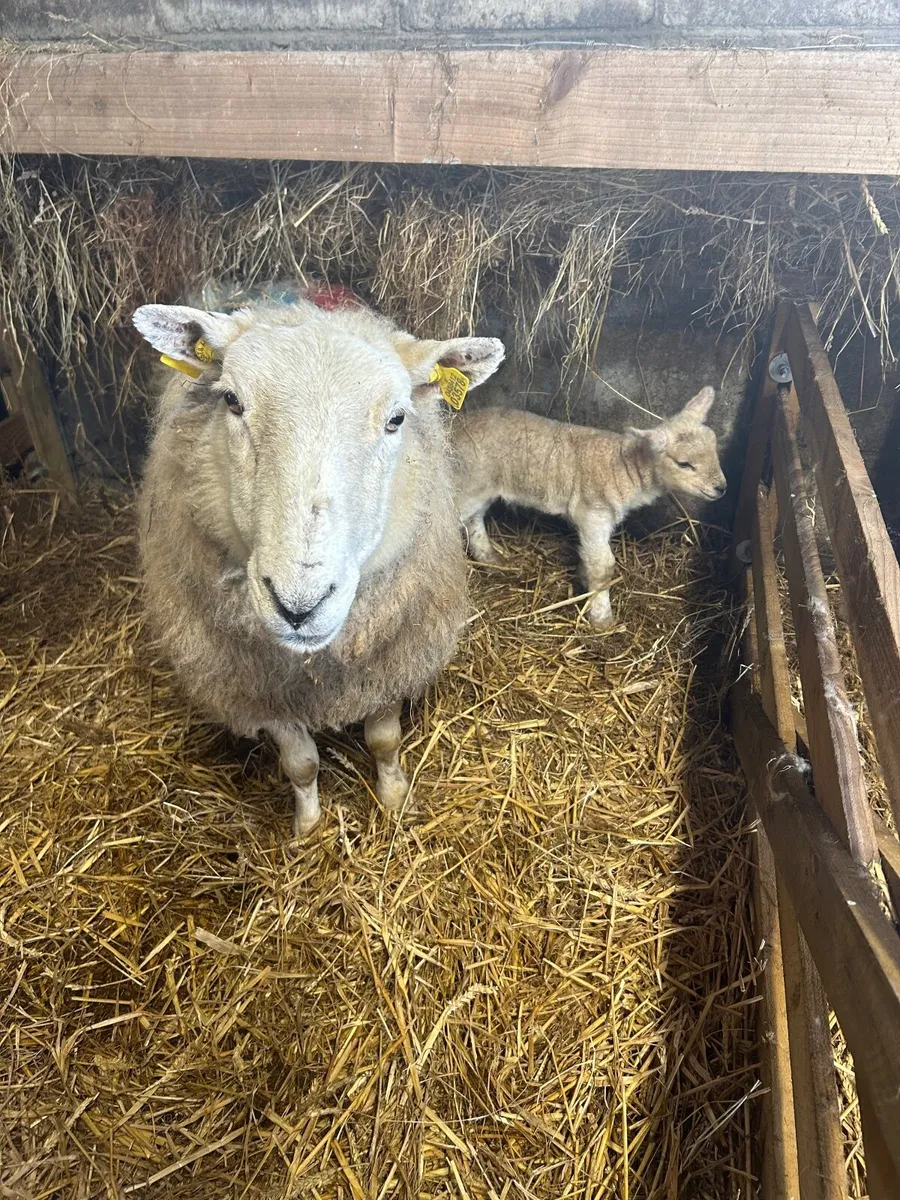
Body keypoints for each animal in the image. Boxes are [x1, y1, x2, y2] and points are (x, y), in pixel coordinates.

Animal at [132, 291, 505, 836]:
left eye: (396, 419)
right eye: (232, 401)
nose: (298, 606)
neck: (314, 669)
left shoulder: (386, 653)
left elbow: (384, 740)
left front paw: (394, 798)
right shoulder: (260, 689)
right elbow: (300, 763)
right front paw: (307, 827)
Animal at [452, 387, 726, 629]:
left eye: (715, 450)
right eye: (684, 464)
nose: (722, 488)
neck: (624, 468)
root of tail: (456, 426)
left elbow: (590, 559)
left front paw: (582, 580)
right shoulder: (593, 514)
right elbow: (603, 568)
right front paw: (602, 618)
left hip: (479, 486)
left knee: (473, 519)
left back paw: (489, 558)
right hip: (469, 482)